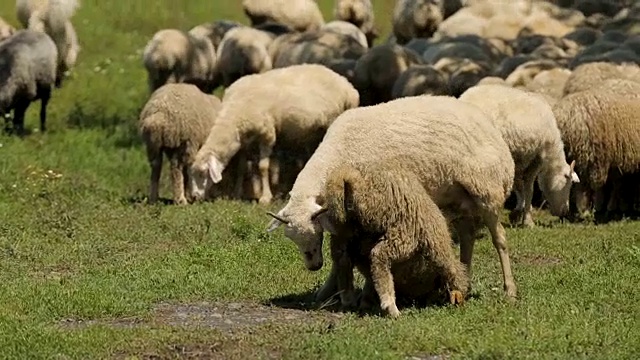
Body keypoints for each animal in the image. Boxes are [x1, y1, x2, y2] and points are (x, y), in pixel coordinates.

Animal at [189, 64, 360, 205]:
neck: (234, 115)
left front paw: (265, 197)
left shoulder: (267, 135)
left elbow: (263, 167)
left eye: (203, 173)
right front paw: (237, 193)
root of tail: (349, 87)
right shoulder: (244, 141)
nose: (194, 197)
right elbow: (242, 167)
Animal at [316, 162, 470, 316]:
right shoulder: (436, 245)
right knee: (378, 256)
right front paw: (457, 294)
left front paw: (365, 301)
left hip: (343, 232)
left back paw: (349, 299)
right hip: (400, 232)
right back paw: (390, 306)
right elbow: (453, 271)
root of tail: (352, 180)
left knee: (343, 261)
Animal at [460, 83, 580, 226]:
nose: (565, 211)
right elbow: (528, 188)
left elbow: (517, 186)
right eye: (569, 185)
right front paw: (526, 218)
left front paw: (518, 212)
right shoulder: (535, 159)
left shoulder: (518, 160)